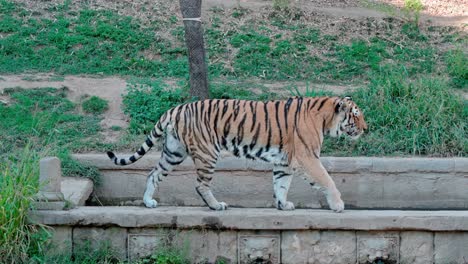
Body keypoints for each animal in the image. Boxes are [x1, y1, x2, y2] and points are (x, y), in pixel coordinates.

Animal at [108, 96, 368, 212]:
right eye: (356, 115)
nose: (366, 128)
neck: (326, 120)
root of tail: (175, 109)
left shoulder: (284, 162)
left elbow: (281, 185)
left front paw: (283, 205)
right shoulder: (308, 157)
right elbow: (327, 179)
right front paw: (338, 204)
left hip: (173, 152)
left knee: (152, 174)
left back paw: (148, 201)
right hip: (206, 153)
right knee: (200, 185)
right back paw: (216, 206)